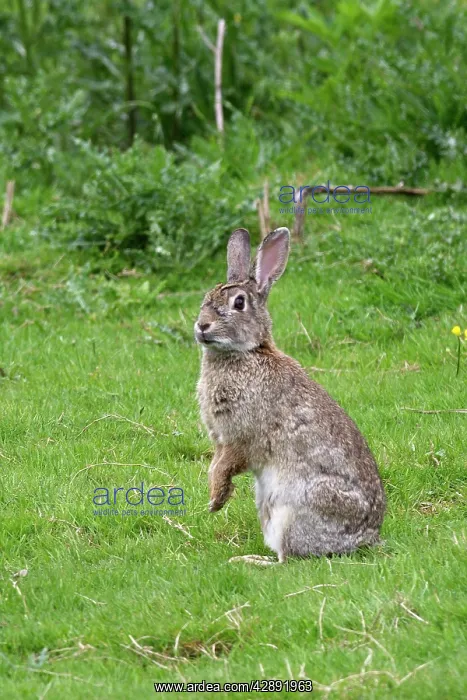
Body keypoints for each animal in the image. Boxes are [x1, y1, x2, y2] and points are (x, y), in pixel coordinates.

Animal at [195, 227, 385, 562]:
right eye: (207, 297)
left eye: (239, 303)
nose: (202, 326)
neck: (247, 353)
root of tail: (365, 538)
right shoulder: (221, 440)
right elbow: (215, 465)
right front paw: (215, 499)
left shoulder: (241, 437)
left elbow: (227, 465)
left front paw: (216, 500)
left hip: (293, 508)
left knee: (289, 558)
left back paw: (250, 561)